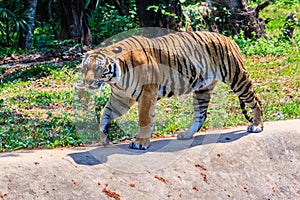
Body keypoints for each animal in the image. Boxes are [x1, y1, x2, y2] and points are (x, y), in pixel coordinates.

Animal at [81, 30, 262, 150]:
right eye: (86, 67)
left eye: (98, 69)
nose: (88, 82)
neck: (115, 79)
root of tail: (228, 38)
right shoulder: (121, 98)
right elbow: (105, 114)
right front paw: (104, 138)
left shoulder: (147, 92)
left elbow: (144, 118)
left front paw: (140, 142)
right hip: (202, 89)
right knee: (201, 114)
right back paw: (187, 134)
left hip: (237, 79)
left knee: (256, 100)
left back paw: (257, 126)